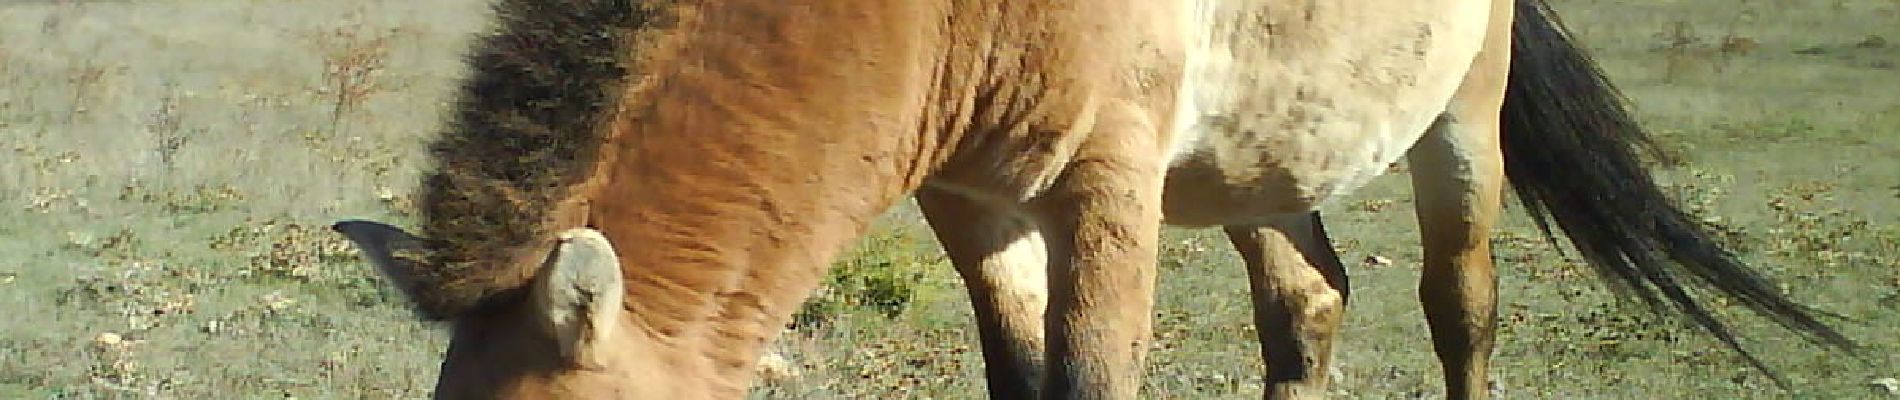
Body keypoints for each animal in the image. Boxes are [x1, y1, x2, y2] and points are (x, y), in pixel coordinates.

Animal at [330, 0, 1854, 398]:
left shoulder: (1108, 190)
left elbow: (1094, 372)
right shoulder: (972, 200)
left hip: (1457, 134)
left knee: (1457, 313)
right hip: (1257, 165)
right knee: (1309, 306)